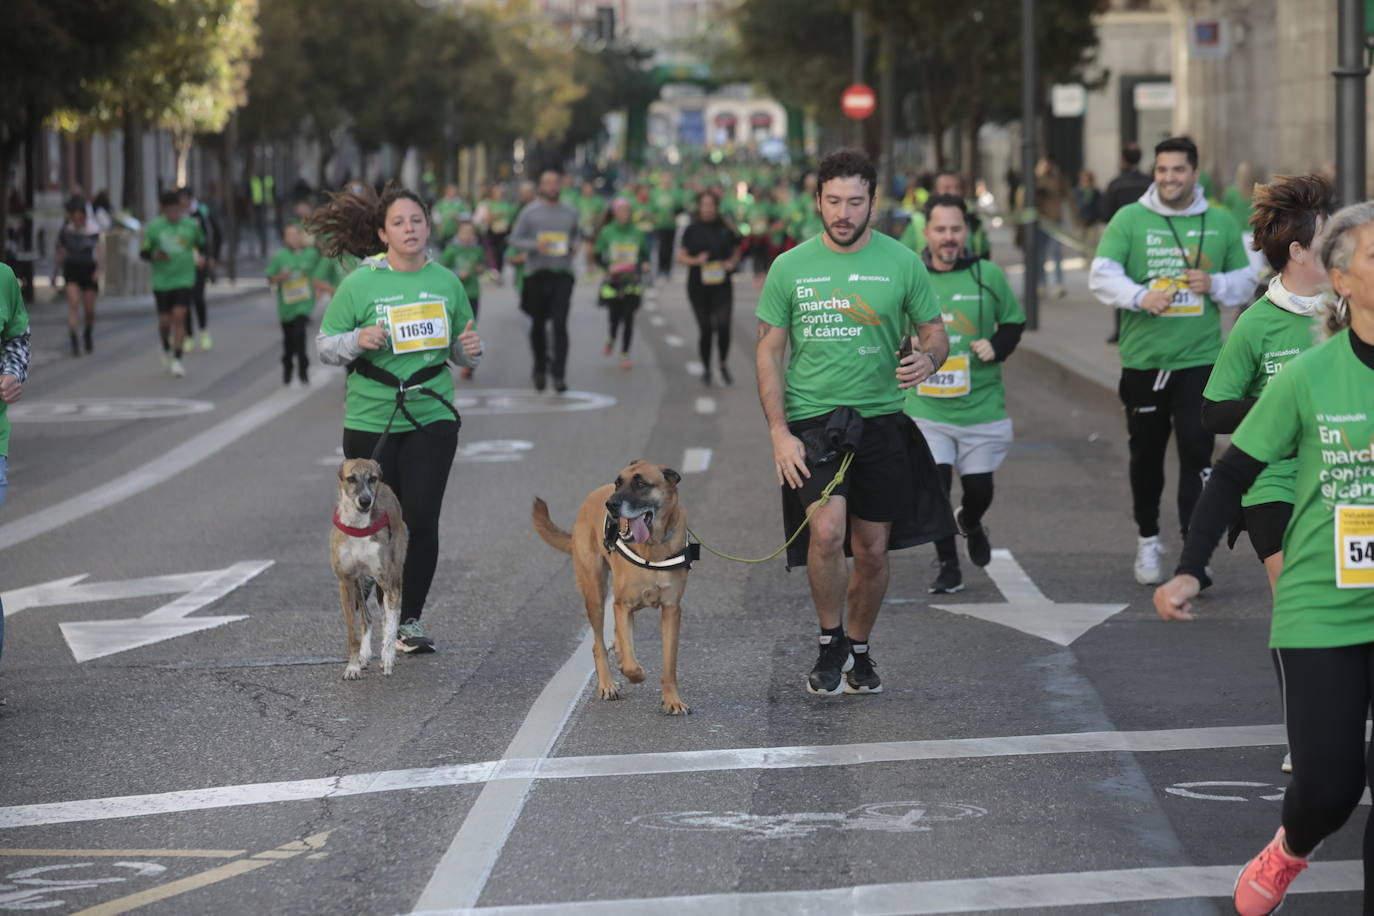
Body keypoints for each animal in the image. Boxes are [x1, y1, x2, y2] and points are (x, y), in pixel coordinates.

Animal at [328, 458, 406, 681]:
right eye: (351, 479)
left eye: (372, 478)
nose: (365, 501)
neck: (358, 527)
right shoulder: (345, 582)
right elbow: (352, 633)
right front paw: (353, 666)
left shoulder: (387, 580)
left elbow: (391, 622)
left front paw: (387, 658)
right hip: (358, 583)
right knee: (367, 617)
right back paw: (364, 655)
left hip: (395, 572)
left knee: (388, 616)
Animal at [530, 461, 692, 714]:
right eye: (618, 482)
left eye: (641, 483)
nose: (611, 504)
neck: (653, 547)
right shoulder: (623, 604)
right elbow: (631, 664)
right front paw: (634, 672)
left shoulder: (671, 610)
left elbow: (669, 665)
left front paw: (672, 700)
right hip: (596, 594)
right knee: (598, 645)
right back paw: (607, 684)